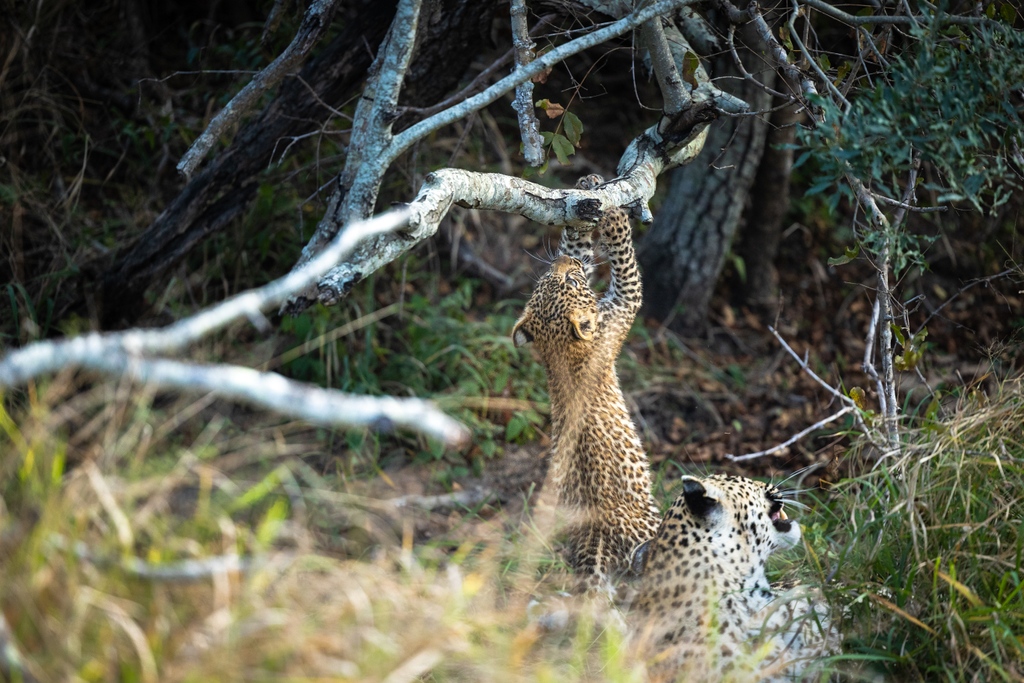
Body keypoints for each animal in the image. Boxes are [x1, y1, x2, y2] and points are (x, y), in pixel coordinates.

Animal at [512, 175, 661, 595]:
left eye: (559, 277)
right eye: (571, 278)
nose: (566, 264)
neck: (561, 353)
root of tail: (596, 537)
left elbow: (575, 236)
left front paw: (587, 188)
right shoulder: (625, 300)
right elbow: (625, 257)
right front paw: (613, 214)